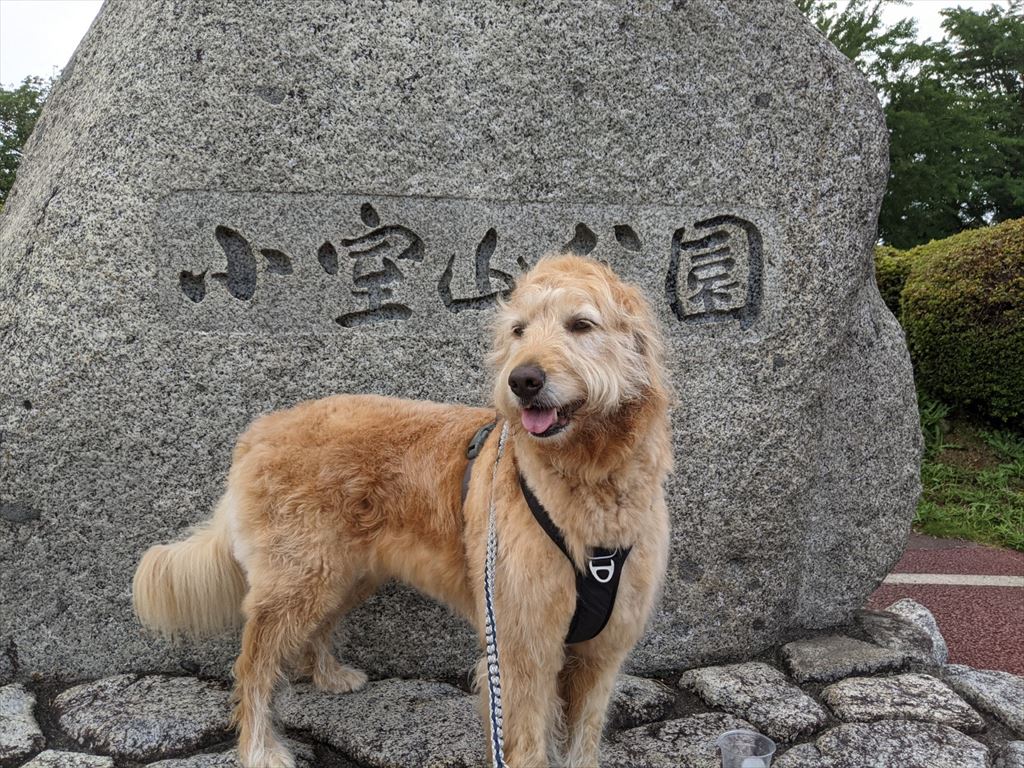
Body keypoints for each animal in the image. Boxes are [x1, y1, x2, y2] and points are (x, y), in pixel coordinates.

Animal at [134, 253, 671, 768]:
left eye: (581, 325)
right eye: (519, 330)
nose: (522, 380)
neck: (587, 477)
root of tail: (258, 432)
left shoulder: (601, 652)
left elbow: (583, 739)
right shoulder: (522, 644)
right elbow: (527, 744)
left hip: (341, 575)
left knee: (313, 632)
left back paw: (329, 675)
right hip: (298, 577)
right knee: (253, 667)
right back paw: (261, 749)